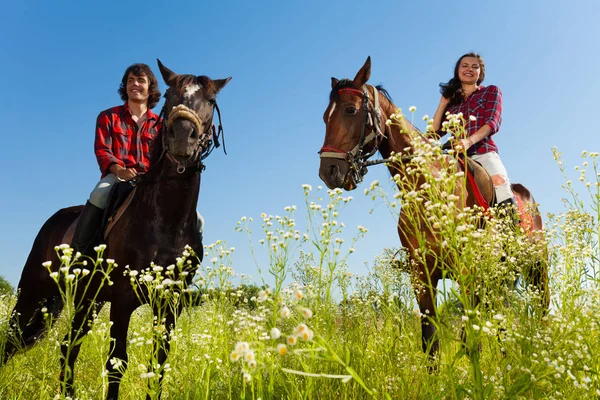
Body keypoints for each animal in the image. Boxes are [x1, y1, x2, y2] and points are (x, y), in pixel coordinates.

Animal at [2, 60, 231, 400]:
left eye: (211, 100)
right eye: (168, 97)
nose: (182, 138)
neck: (167, 220)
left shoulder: (169, 304)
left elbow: (158, 363)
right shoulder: (123, 299)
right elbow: (116, 363)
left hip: (89, 301)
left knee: (68, 345)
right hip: (33, 293)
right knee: (11, 341)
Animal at [318, 55, 548, 362]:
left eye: (350, 110)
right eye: (325, 117)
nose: (328, 172)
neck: (429, 192)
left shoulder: (467, 271)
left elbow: (468, 338)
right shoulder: (422, 276)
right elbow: (430, 341)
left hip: (537, 269)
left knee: (542, 311)